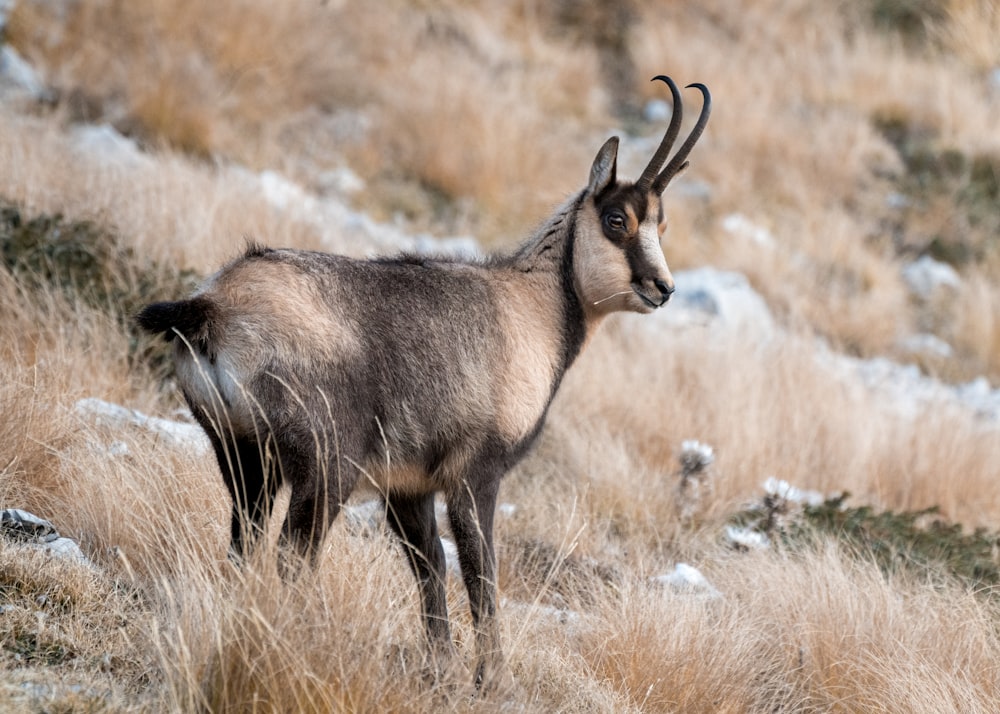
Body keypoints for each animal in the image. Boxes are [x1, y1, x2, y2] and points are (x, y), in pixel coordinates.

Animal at [135, 75, 712, 688]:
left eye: (661, 223)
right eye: (617, 219)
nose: (663, 288)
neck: (532, 310)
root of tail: (213, 305)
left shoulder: (408, 486)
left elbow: (429, 564)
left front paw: (442, 666)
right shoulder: (475, 474)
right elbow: (480, 572)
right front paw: (492, 678)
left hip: (242, 455)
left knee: (245, 544)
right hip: (325, 465)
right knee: (294, 556)